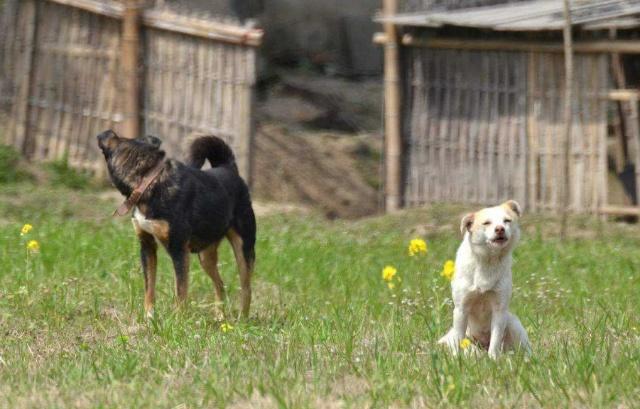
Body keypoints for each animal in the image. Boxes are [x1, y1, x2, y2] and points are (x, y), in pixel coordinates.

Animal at [96, 129, 256, 318]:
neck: (149, 181)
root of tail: (229, 168)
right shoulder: (147, 246)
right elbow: (149, 286)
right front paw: (149, 316)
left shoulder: (178, 249)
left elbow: (180, 290)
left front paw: (178, 319)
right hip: (206, 255)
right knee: (220, 284)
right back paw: (220, 316)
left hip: (243, 248)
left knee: (246, 288)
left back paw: (242, 319)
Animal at [438, 200, 532, 356]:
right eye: (486, 223)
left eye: (507, 220)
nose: (500, 229)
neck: (488, 260)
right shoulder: (461, 308)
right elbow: (458, 338)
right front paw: (456, 357)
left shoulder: (499, 309)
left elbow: (495, 340)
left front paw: (493, 358)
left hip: (512, 322)